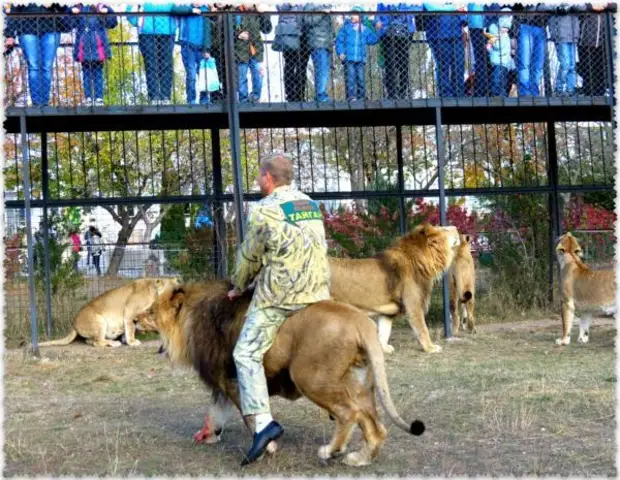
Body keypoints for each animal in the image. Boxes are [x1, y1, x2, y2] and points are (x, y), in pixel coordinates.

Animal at [38, 278, 179, 348]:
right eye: (172, 291)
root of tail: (73, 323)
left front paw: (126, 340)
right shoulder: (129, 312)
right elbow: (131, 327)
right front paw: (132, 341)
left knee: (91, 341)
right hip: (99, 321)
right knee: (97, 342)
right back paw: (114, 343)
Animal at [154, 280, 426, 466]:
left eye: (151, 313)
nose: (140, 322)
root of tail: (359, 320)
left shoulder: (234, 381)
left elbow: (251, 416)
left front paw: (267, 446)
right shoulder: (222, 384)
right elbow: (215, 413)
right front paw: (209, 435)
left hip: (309, 377)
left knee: (348, 413)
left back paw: (331, 451)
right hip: (359, 383)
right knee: (375, 427)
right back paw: (359, 458)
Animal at [330, 224, 460, 352]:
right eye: (444, 229)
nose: (456, 227)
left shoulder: (387, 313)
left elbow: (384, 332)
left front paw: (384, 349)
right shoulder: (413, 305)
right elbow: (423, 328)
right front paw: (430, 348)